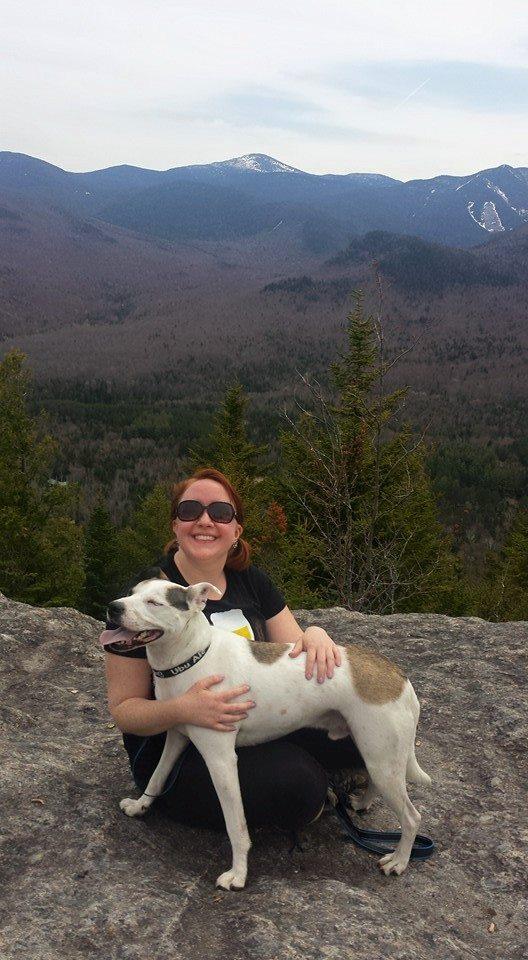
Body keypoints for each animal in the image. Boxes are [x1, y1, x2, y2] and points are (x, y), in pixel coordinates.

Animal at [102, 572, 428, 888]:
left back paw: (398, 861)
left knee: (412, 817)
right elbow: (157, 777)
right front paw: (140, 806)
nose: (113, 607)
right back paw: (362, 803)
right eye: (130, 593)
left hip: (381, 756)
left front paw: (238, 874)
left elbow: (235, 825)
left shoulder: (221, 762)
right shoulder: (176, 738)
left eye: (154, 602)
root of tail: (398, 675)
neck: (193, 657)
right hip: (374, 752)